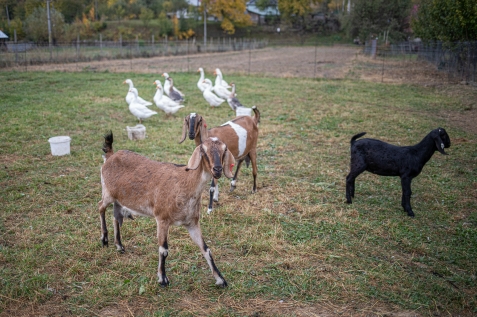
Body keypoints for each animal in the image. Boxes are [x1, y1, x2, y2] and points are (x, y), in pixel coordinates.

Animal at [96, 131, 234, 286]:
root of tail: (111, 156)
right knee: (100, 207)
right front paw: (163, 278)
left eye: (224, 150)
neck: (184, 183)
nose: (217, 169)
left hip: (119, 199)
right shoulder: (162, 219)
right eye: (203, 150)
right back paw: (104, 239)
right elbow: (164, 250)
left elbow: (206, 249)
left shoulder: (192, 223)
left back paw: (119, 245)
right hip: (107, 192)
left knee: (116, 217)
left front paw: (220, 279)